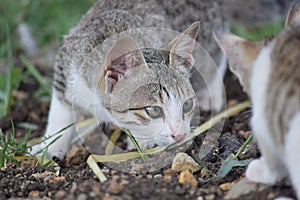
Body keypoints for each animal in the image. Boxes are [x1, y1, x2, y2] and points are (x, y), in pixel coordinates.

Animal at [32, 0, 227, 159]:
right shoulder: (65, 65)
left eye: (187, 105)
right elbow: (60, 112)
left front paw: (142, 139)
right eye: (153, 110)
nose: (180, 135)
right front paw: (50, 147)